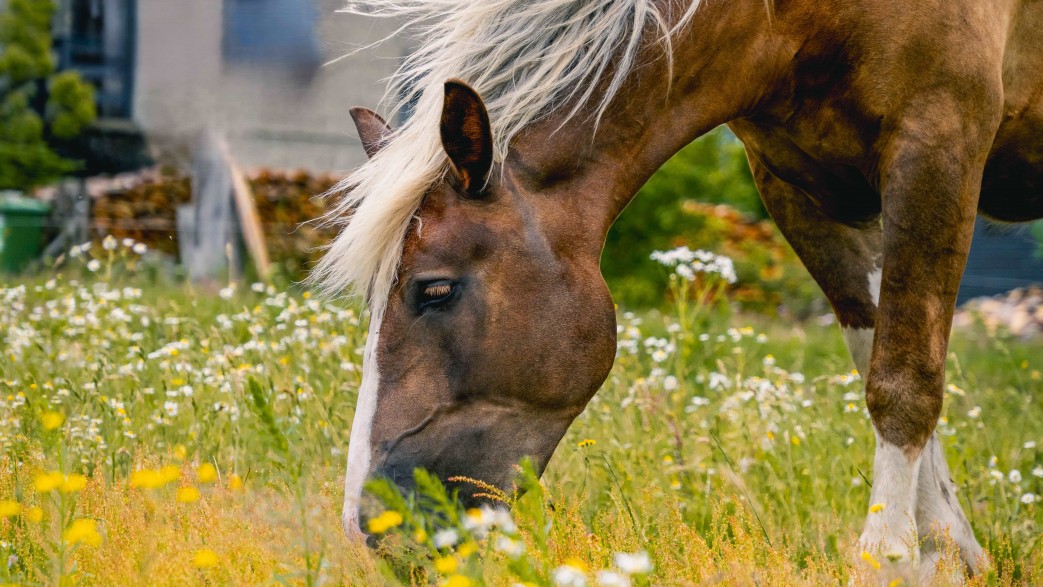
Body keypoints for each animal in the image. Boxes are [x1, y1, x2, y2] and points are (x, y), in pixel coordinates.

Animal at [317, 0, 1043, 579]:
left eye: (435, 290)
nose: (369, 526)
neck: (805, 16)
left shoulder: (937, 154)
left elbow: (903, 382)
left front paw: (890, 560)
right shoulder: (799, 188)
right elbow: (877, 356)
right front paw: (948, 554)